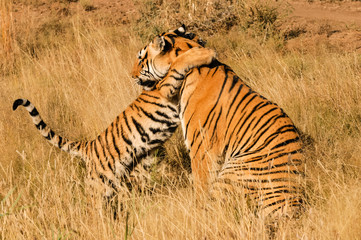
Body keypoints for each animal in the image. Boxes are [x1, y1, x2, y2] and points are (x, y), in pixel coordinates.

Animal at [13, 31, 214, 198]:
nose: (132, 75)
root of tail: (88, 146)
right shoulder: (168, 87)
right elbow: (182, 63)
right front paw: (205, 53)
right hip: (98, 186)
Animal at [132, 25, 304, 218]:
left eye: (140, 59)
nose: (132, 75)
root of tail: (294, 201)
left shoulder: (202, 149)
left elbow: (201, 186)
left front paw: (197, 211)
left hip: (234, 172)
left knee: (216, 210)